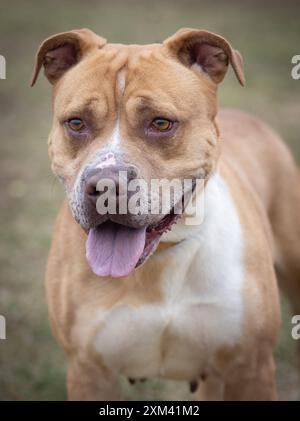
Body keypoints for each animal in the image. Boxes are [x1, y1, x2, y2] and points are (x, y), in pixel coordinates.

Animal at [31, 27, 300, 398]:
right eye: (75, 123)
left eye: (160, 123)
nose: (105, 185)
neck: (162, 256)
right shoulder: (88, 370)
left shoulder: (251, 368)